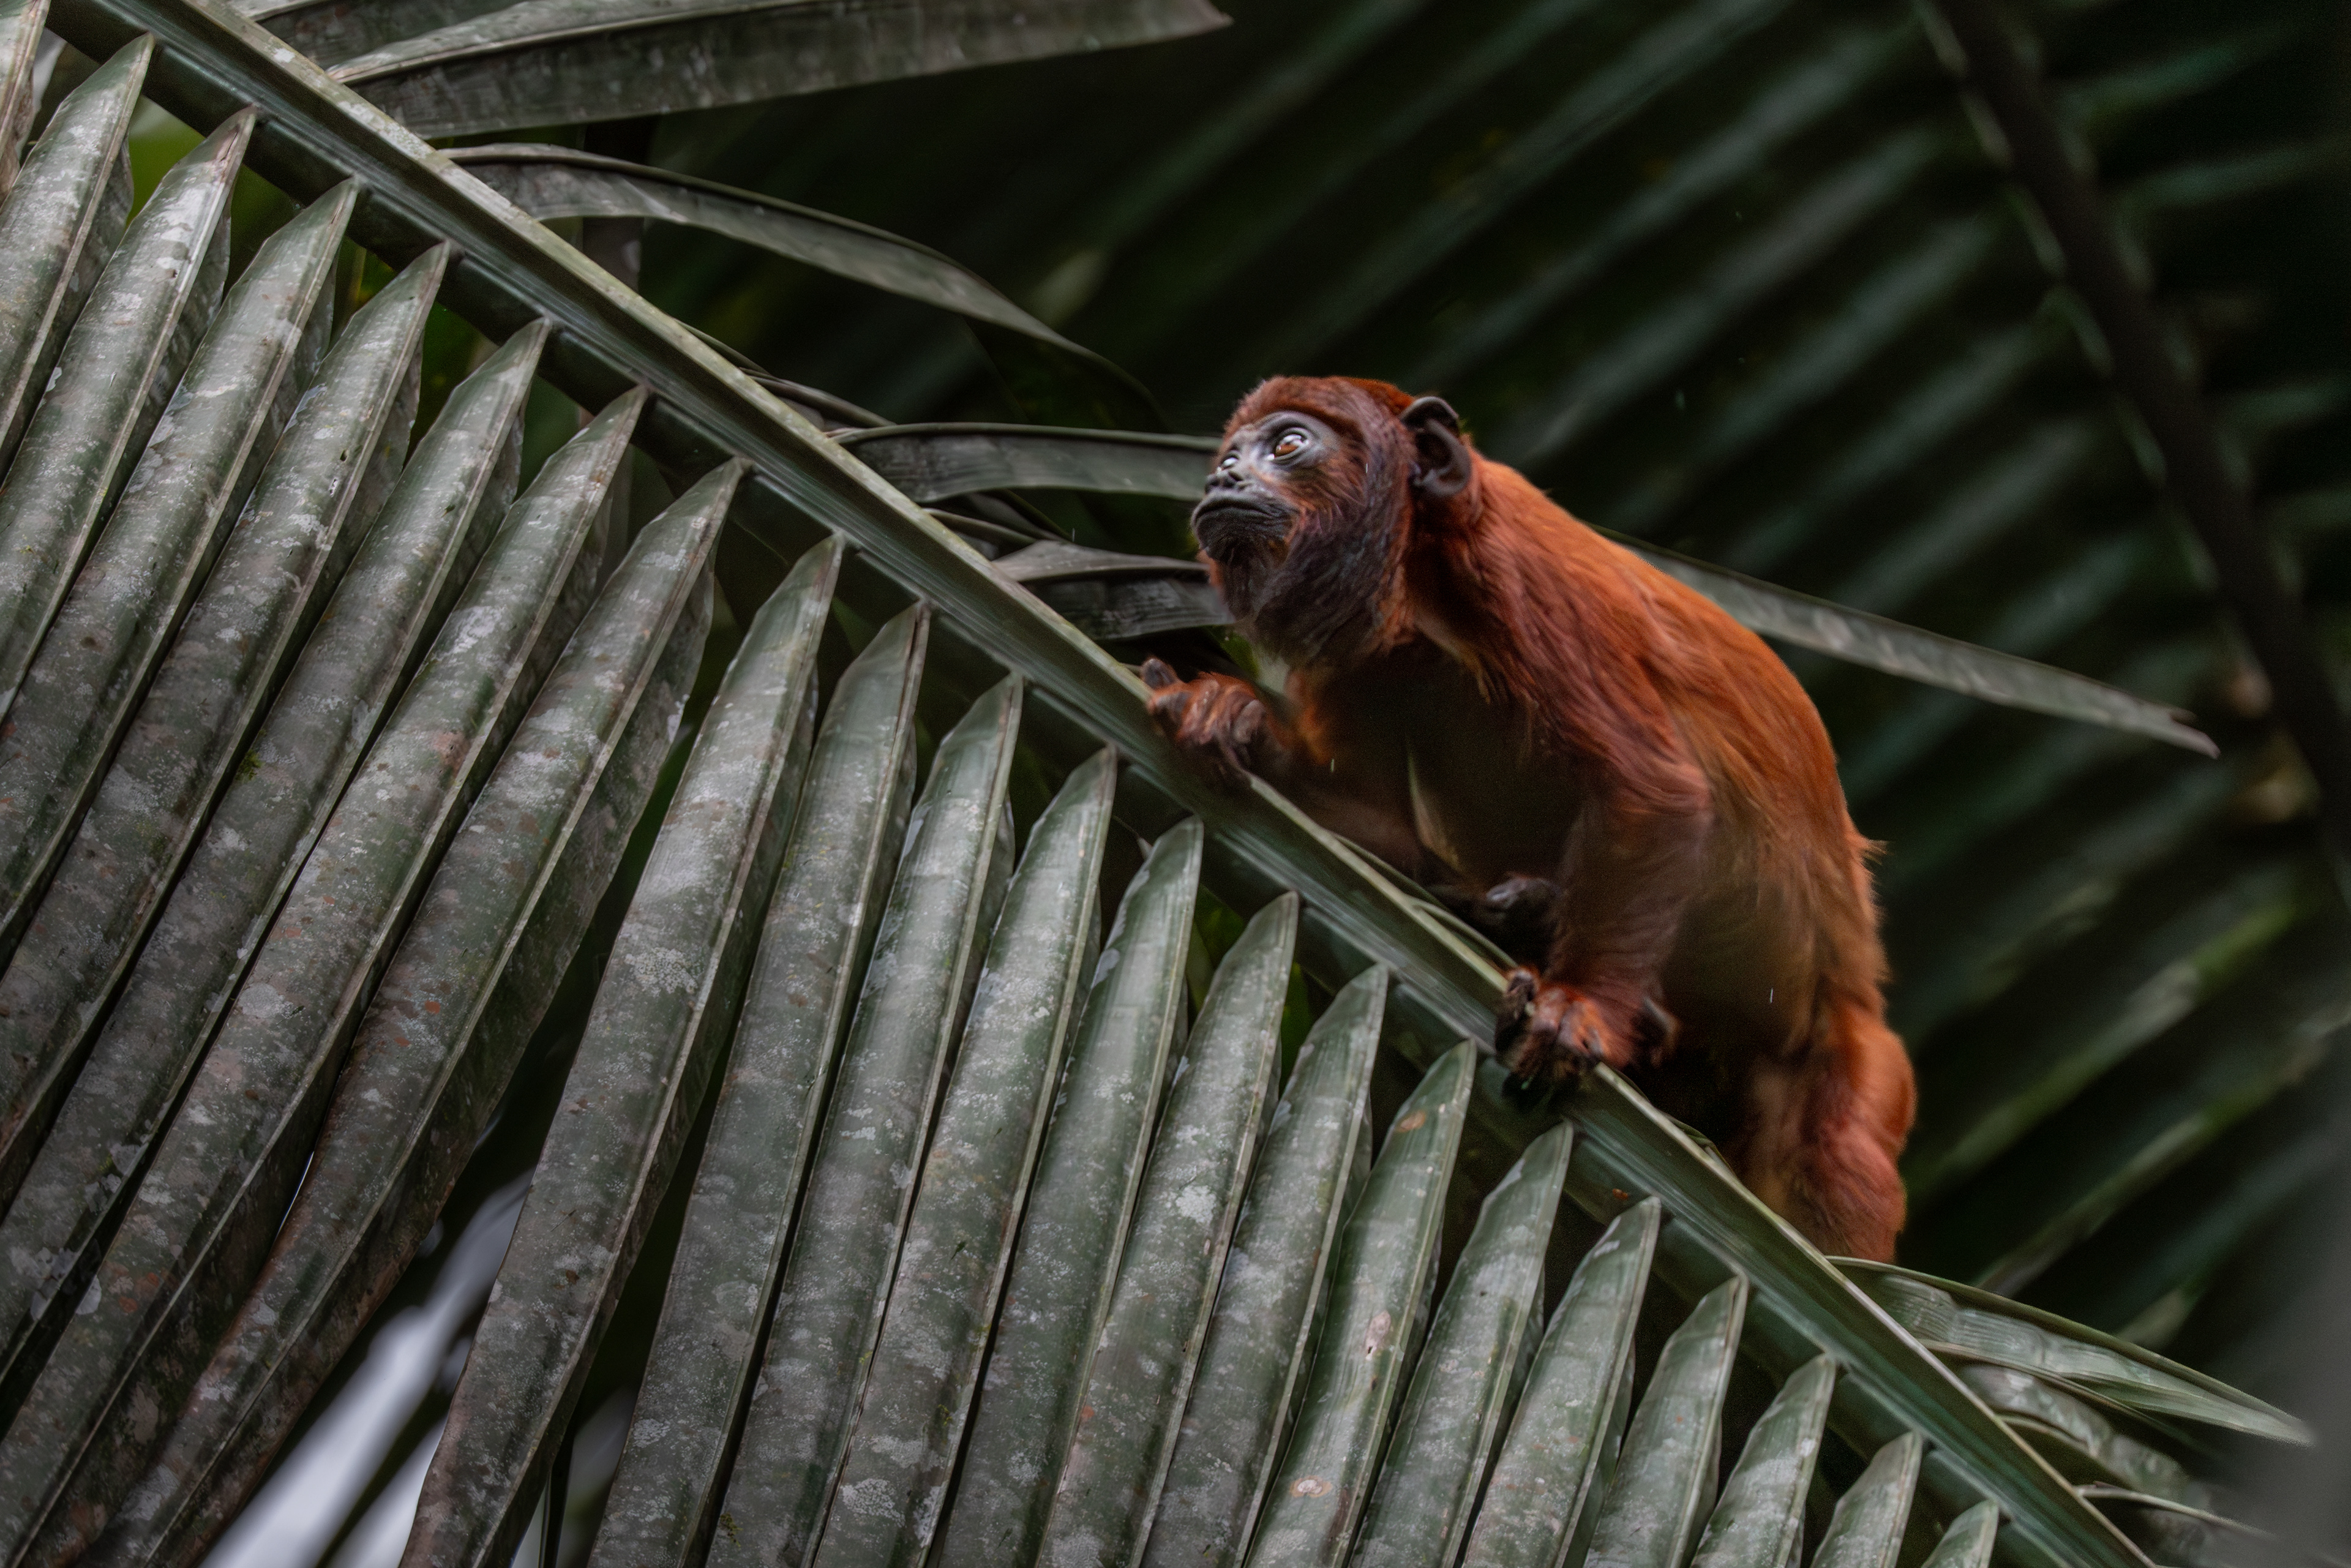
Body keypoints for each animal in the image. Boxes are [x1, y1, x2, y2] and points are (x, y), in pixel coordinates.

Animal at [1140, 376, 1913, 1261]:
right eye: (1231, 451)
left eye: (1288, 444)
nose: (1222, 476)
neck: (1424, 571)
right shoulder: (1365, 643)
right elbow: (1382, 826)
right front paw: (1225, 710)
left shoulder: (1525, 580)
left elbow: (1654, 791)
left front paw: (1582, 1008)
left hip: (1853, 1064)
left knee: (1836, 1149)